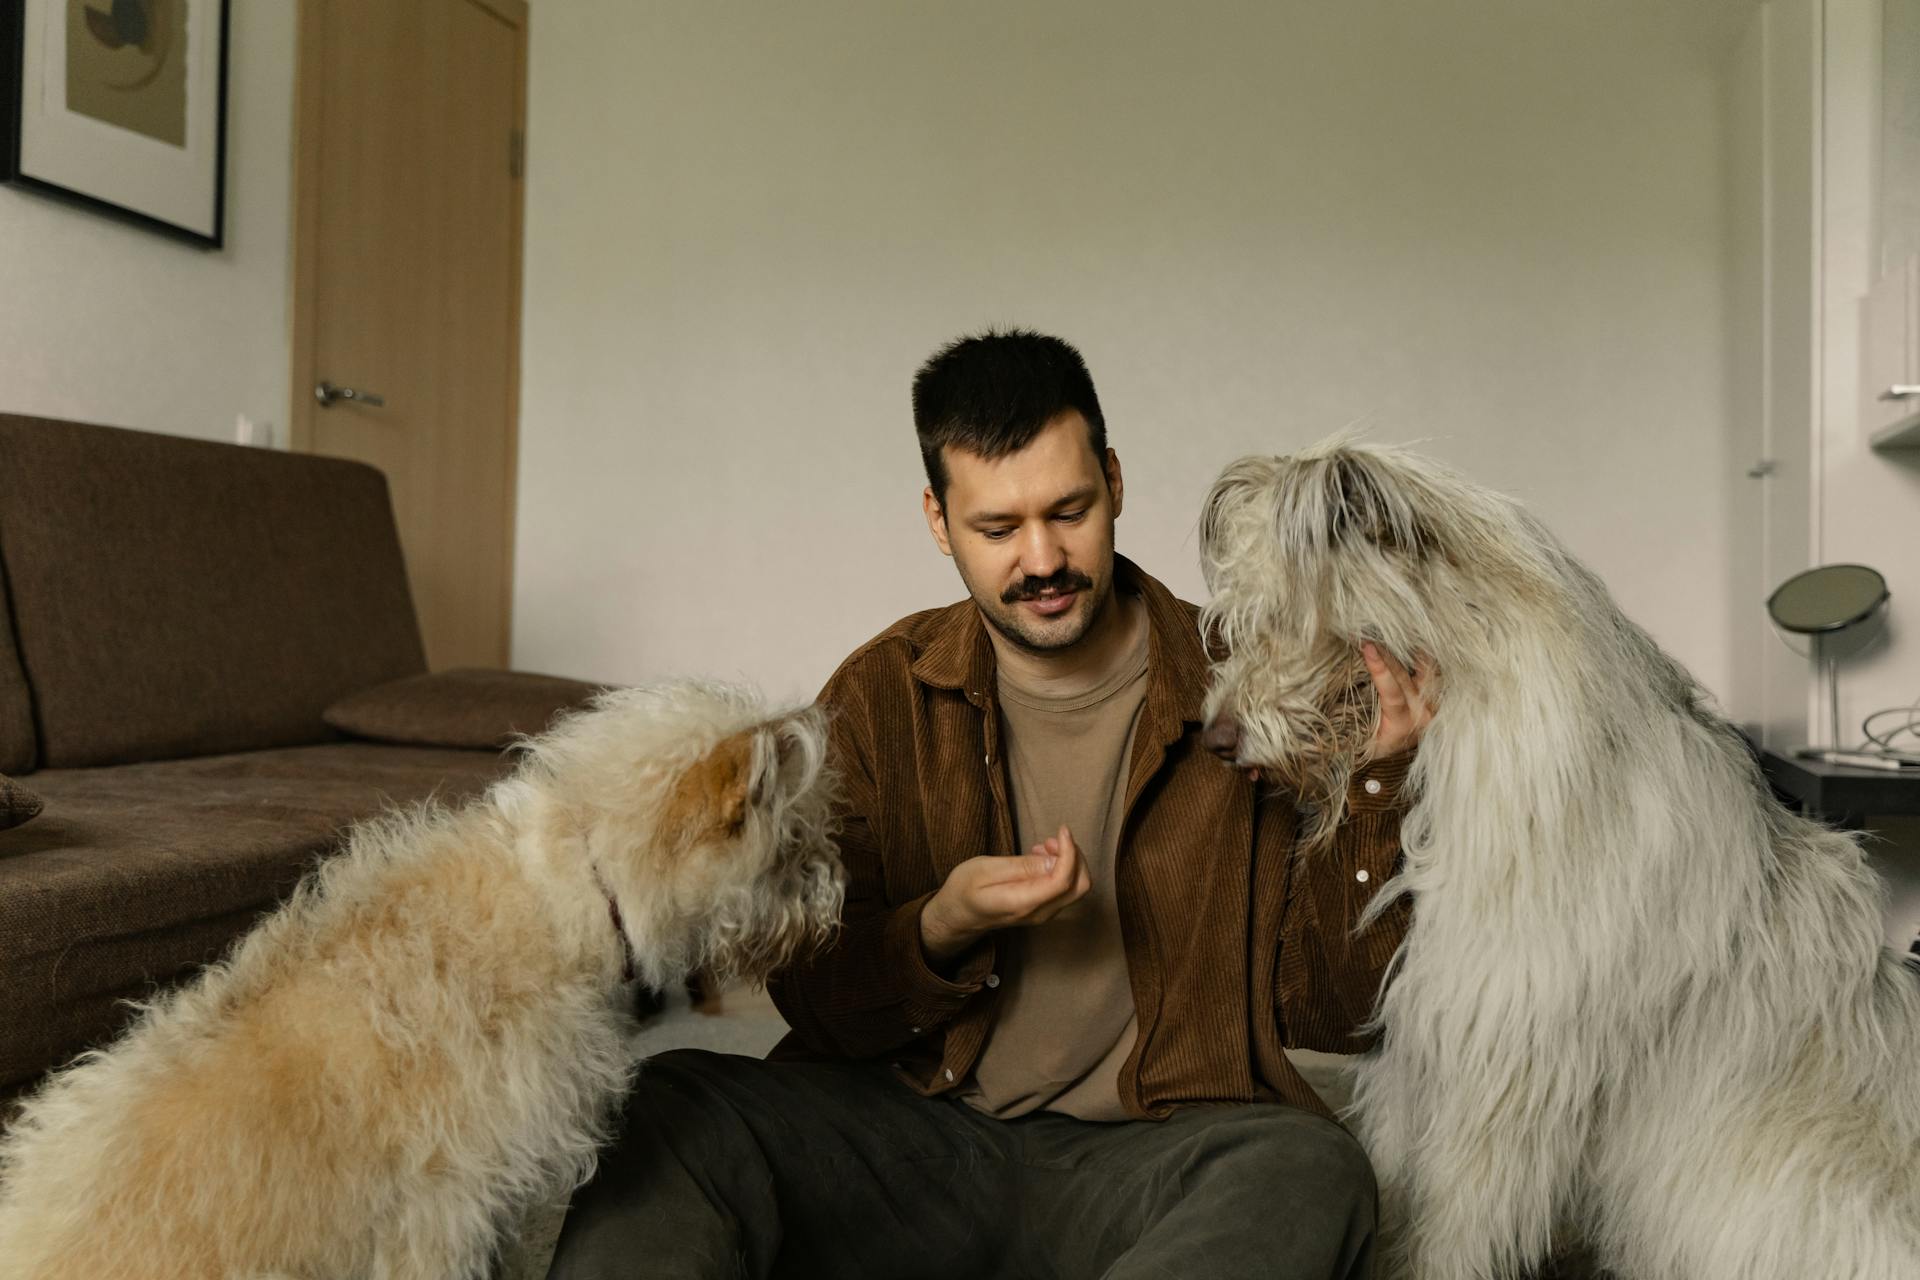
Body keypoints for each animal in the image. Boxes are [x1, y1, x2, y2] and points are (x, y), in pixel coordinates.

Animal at [1198, 435, 1920, 1274]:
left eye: (1283, 618)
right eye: (1234, 625)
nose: (1213, 739)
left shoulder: (1505, 1064)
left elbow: (1451, 1226)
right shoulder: (1425, 1041)